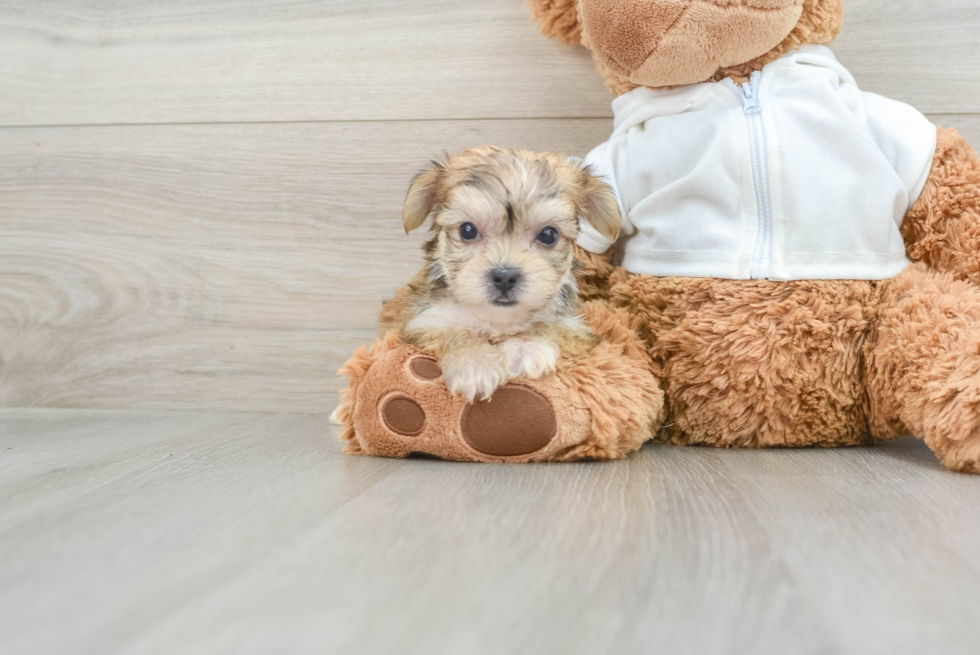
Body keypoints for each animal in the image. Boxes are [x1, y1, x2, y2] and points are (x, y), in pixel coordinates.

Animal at [380, 147, 620, 402]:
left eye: (548, 234)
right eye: (467, 230)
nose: (505, 276)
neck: (498, 319)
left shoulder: (577, 329)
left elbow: (553, 328)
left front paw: (526, 347)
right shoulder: (421, 320)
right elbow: (451, 329)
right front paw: (476, 363)